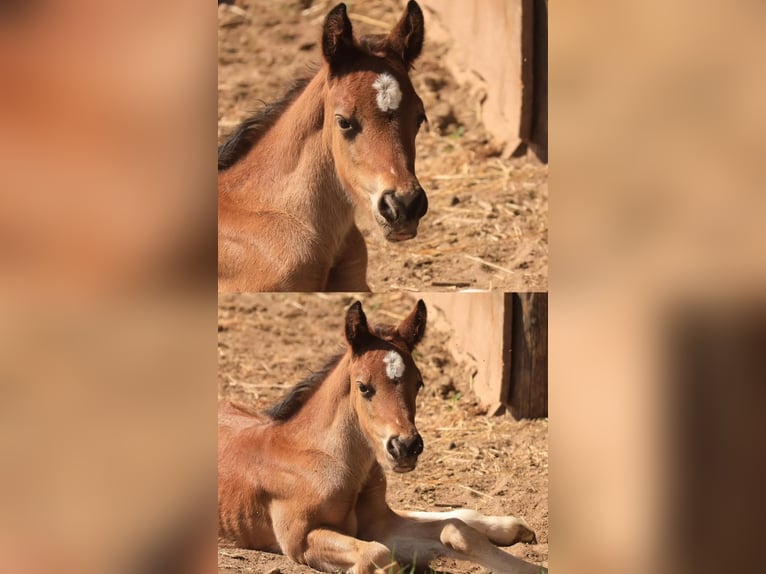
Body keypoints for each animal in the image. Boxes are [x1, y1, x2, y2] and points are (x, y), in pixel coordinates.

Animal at [218, 300, 546, 574]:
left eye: (419, 383)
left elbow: (456, 530)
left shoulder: (380, 522)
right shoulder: (300, 539)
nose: (406, 447)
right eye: (363, 387)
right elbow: (378, 553)